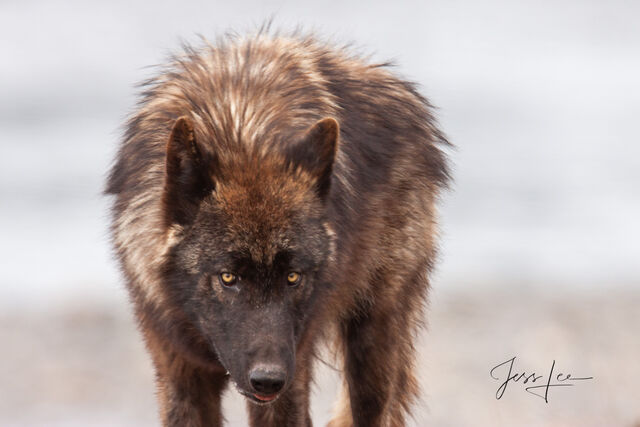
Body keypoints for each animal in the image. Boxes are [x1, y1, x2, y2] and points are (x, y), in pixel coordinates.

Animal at [106, 30, 450, 427]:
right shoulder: (180, 374)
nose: (268, 380)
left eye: (293, 277)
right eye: (227, 277)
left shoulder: (291, 373)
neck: (242, 130)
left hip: (372, 347)